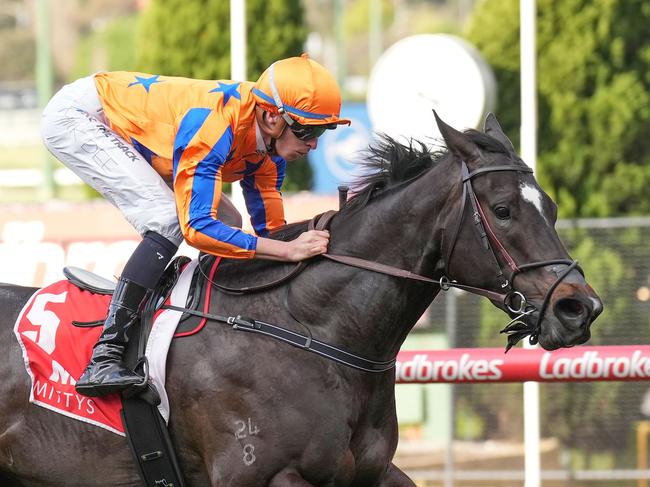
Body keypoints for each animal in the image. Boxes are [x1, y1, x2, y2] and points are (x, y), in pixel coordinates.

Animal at [0, 112, 604, 486]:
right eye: (503, 210)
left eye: (550, 207)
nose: (579, 307)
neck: (312, 329)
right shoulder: (259, 474)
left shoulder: (371, 471)